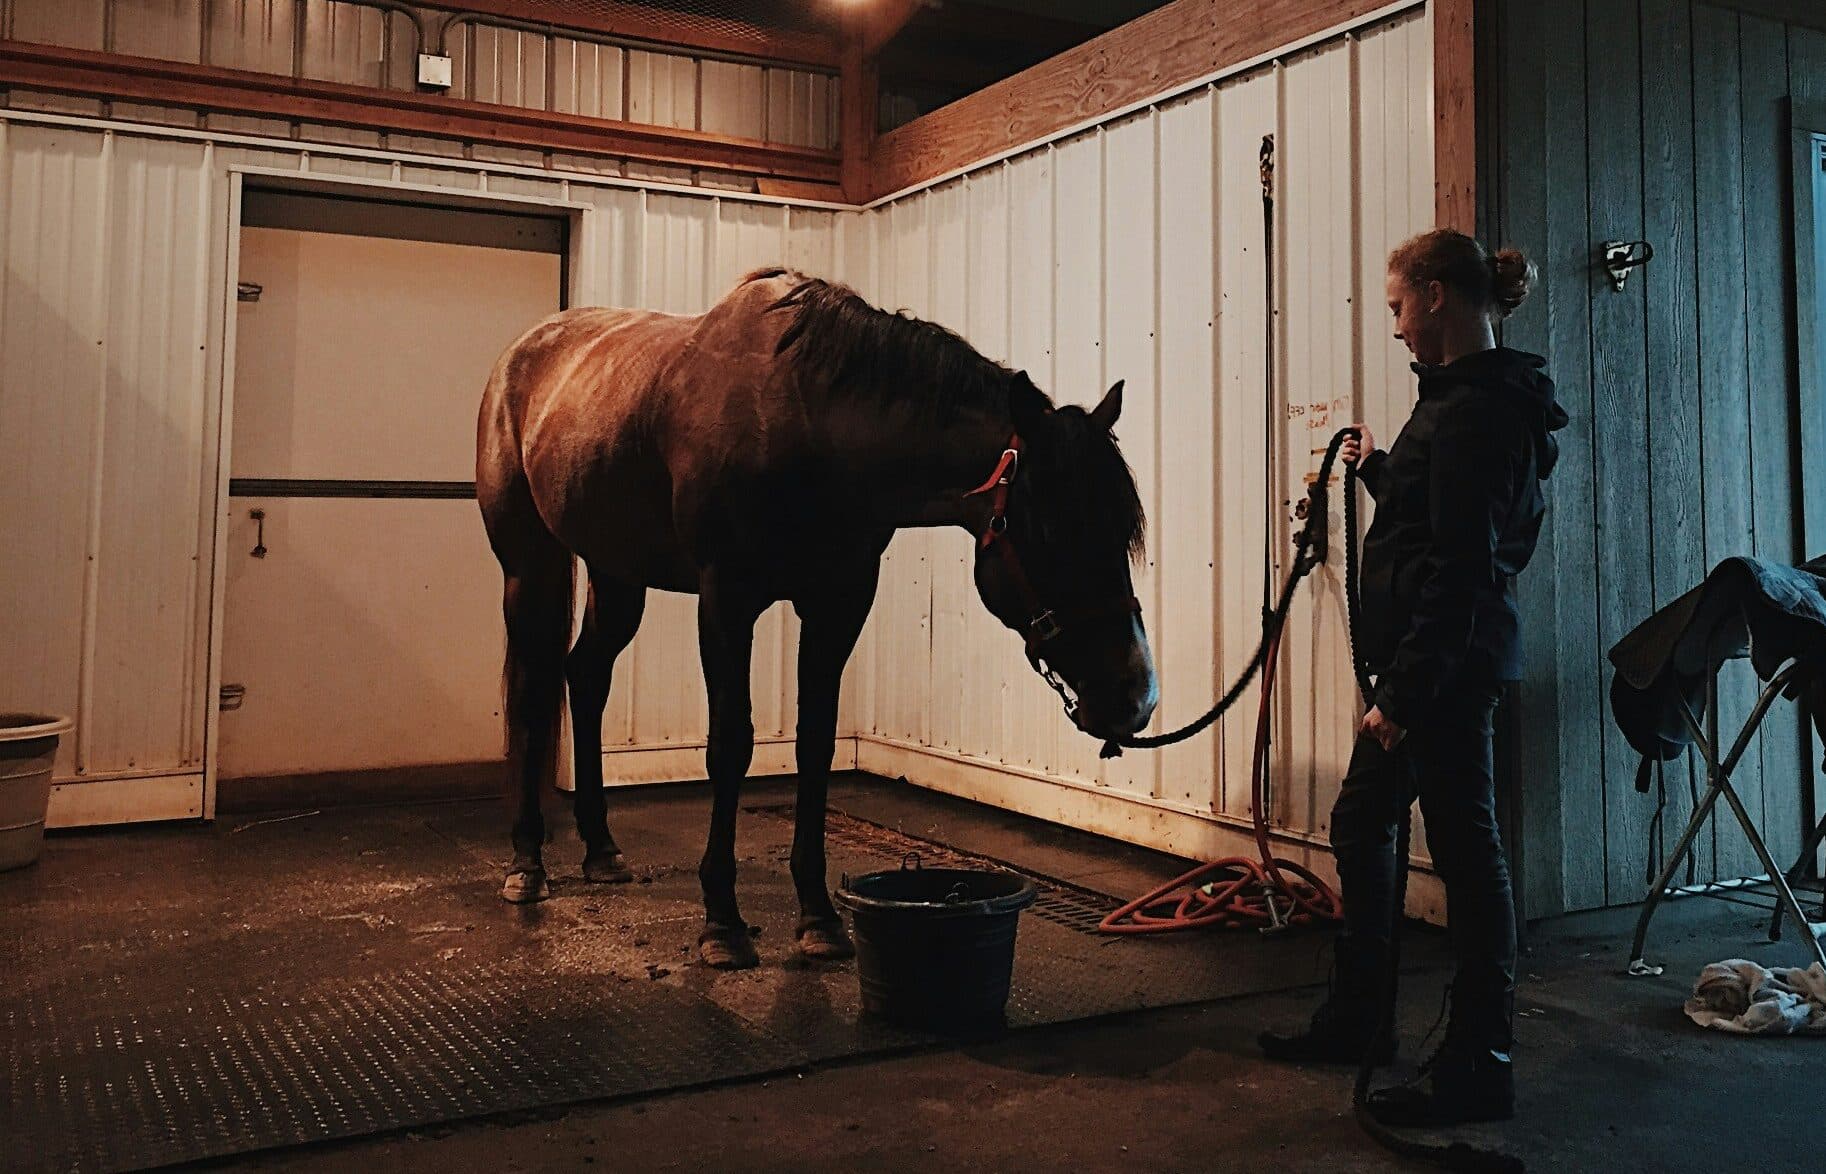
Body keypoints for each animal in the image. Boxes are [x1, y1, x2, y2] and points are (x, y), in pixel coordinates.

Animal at [476, 268, 1158, 970]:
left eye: (1122, 531)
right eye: (1050, 529)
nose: (1136, 695)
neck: (808, 426)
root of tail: (520, 356)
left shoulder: (839, 602)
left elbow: (816, 742)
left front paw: (819, 917)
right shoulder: (727, 599)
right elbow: (730, 744)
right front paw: (722, 922)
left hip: (617, 573)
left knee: (586, 678)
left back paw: (601, 849)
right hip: (530, 566)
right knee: (531, 691)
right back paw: (526, 864)